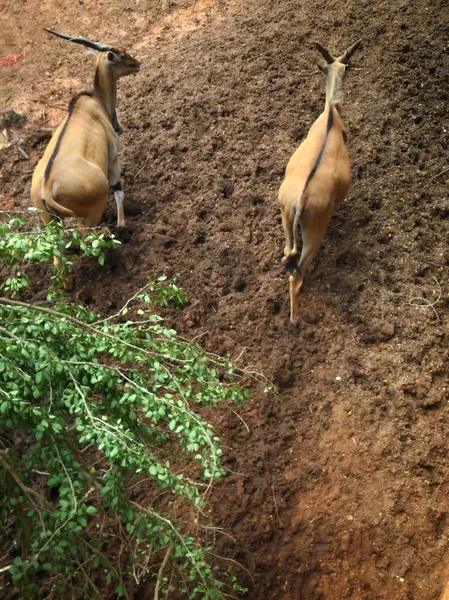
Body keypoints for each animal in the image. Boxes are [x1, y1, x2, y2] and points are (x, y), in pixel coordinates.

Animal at [31, 29, 141, 237]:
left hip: (50, 222)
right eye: (123, 54)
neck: (95, 100)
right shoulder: (113, 156)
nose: (138, 64)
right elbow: (119, 190)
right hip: (93, 210)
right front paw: (122, 225)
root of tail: (47, 190)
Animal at [276, 39, 360, 324]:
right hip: (314, 233)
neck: (331, 115)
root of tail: (300, 200)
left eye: (343, 67)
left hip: (285, 217)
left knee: (287, 253)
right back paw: (296, 320)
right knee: (297, 274)